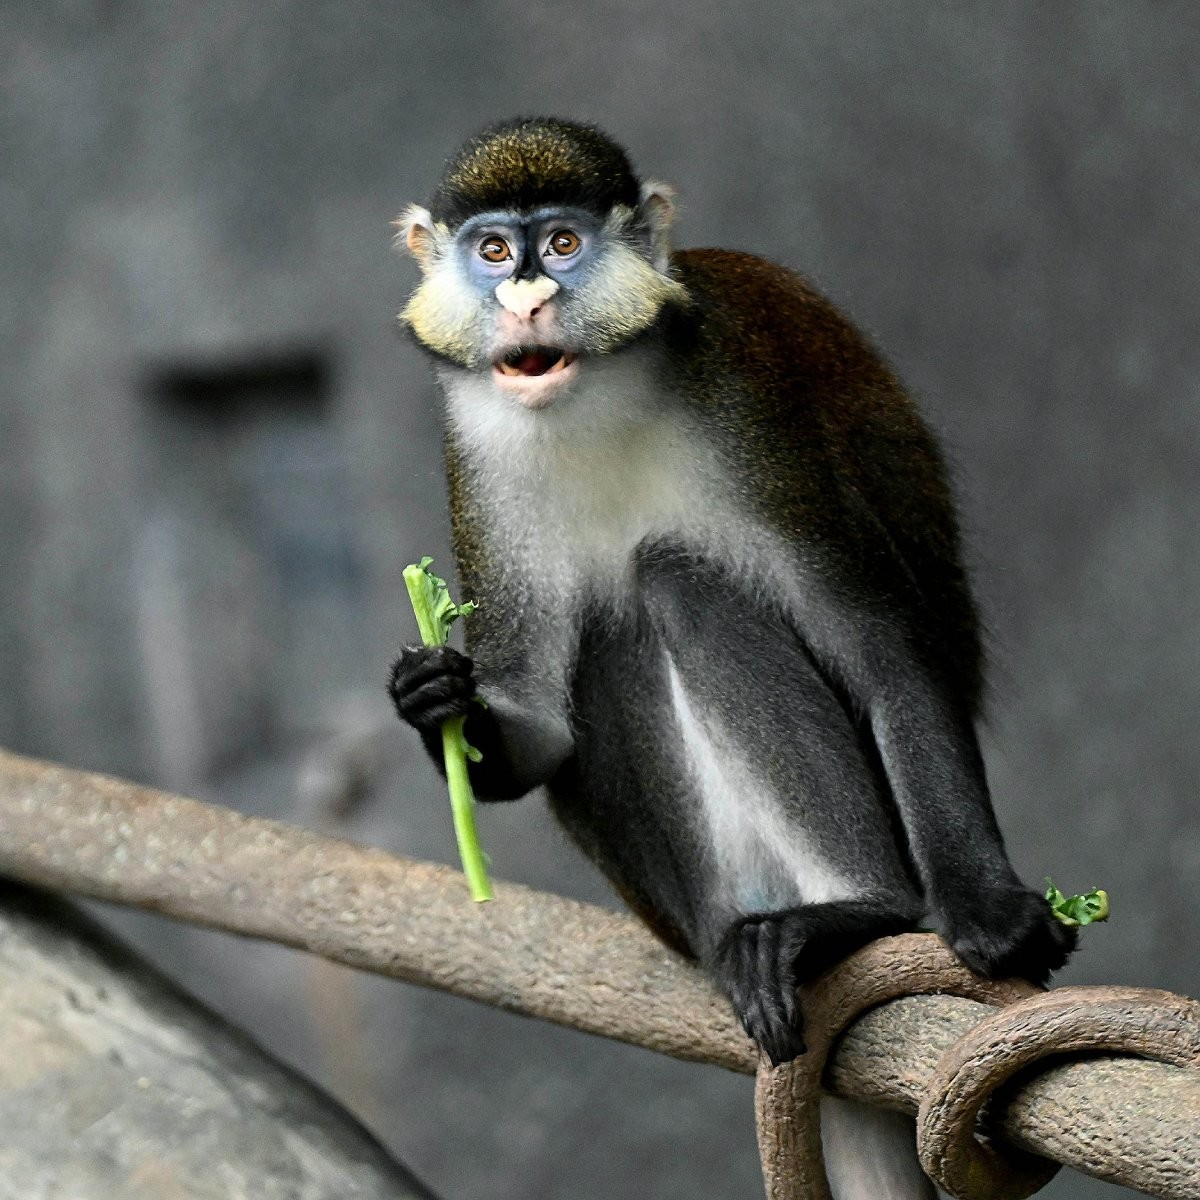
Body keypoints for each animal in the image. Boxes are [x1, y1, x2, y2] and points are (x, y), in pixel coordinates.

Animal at [388, 117, 1075, 1197]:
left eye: (563, 244)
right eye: (493, 250)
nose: (526, 298)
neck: (600, 402)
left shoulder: (752, 412)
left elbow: (882, 653)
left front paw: (991, 909)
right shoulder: (473, 457)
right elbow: (536, 727)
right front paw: (435, 698)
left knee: (674, 577)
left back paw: (859, 912)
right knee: (610, 637)